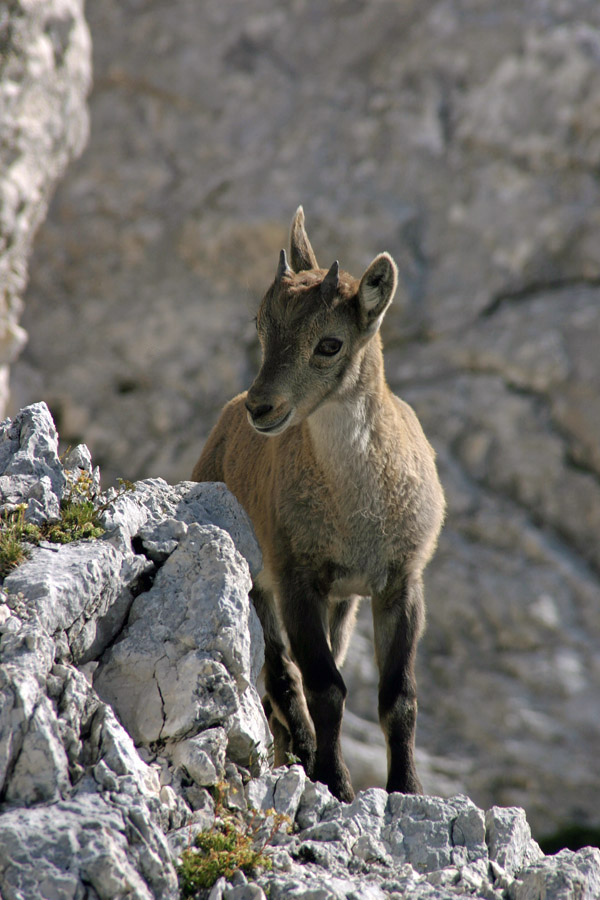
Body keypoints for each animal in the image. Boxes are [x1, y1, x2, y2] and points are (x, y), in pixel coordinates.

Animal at [192, 207, 445, 801]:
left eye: (329, 343)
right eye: (260, 323)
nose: (263, 408)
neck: (358, 506)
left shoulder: (401, 581)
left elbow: (399, 697)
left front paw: (408, 788)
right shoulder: (295, 576)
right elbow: (325, 685)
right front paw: (336, 780)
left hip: (344, 602)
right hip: (257, 583)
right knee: (282, 676)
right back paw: (302, 754)